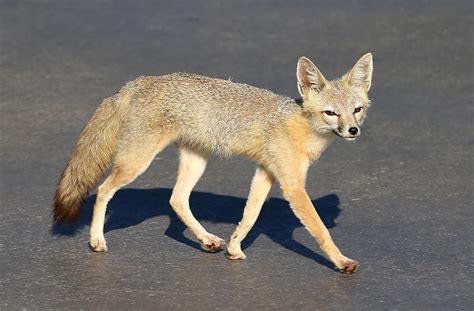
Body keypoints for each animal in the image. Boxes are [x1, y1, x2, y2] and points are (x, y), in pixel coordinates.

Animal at [53, 53, 374, 276]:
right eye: (331, 113)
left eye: (357, 110)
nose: (353, 131)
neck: (302, 126)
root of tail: (143, 79)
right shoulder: (292, 186)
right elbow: (320, 230)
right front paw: (341, 261)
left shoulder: (266, 174)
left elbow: (249, 216)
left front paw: (233, 248)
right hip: (135, 164)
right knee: (104, 190)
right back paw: (96, 240)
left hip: (196, 162)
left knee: (177, 199)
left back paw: (207, 239)